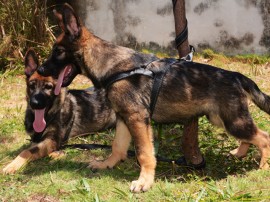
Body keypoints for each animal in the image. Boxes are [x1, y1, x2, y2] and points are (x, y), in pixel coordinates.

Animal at [38, 3, 270, 193]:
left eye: (58, 51)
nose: (39, 70)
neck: (112, 65)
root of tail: (236, 75)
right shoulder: (124, 118)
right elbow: (117, 146)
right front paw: (107, 164)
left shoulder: (137, 119)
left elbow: (144, 153)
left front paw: (144, 182)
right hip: (222, 119)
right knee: (252, 135)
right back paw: (239, 152)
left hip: (232, 120)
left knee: (264, 137)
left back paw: (263, 167)